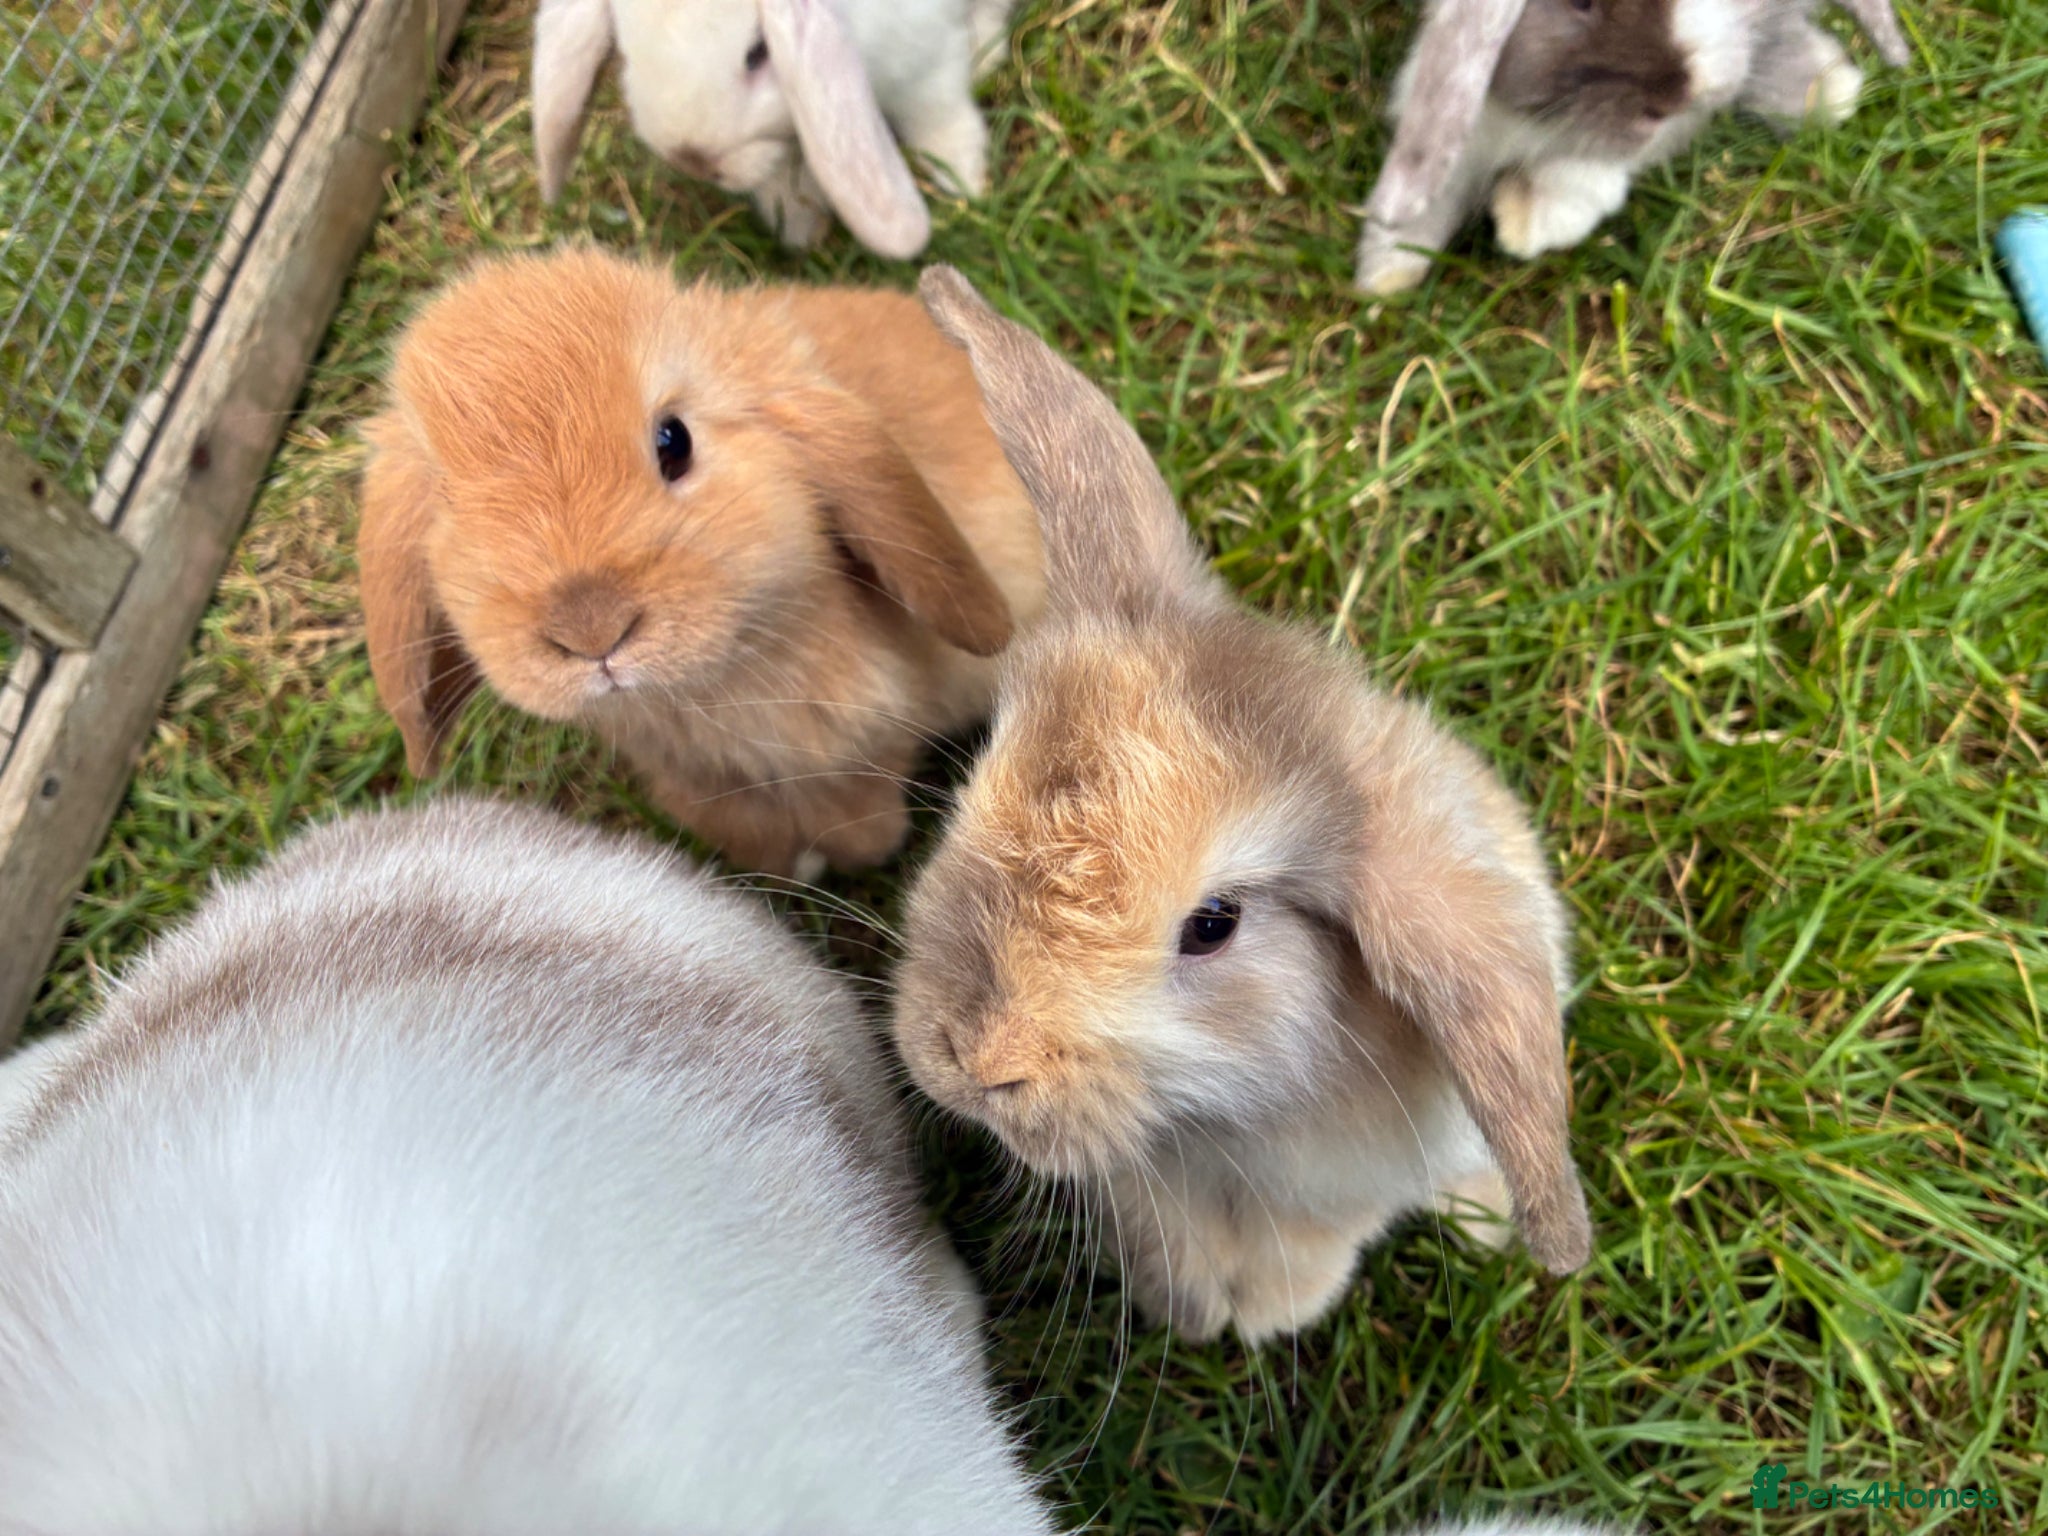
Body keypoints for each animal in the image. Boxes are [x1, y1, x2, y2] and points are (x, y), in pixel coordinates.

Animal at [357, 246, 1044, 881]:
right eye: (446, 499)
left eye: (674, 441)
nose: (591, 630)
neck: (701, 690)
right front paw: (780, 866)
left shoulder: (868, 734)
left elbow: (860, 811)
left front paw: (852, 851)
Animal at [532, 0, 1018, 259]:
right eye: (627, 46)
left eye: (758, 53)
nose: (693, 159)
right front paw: (800, 233)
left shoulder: (925, 64)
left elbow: (939, 119)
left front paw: (965, 186)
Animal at [887, 267, 1593, 1346]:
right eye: (980, 776)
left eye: (1212, 925)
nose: (973, 1057)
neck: (1223, 1117)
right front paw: (1183, 1299)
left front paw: (1252, 1314)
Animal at [1354, 0, 1911, 293]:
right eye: (1581, 3)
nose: (1677, 94)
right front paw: (1388, 273)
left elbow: (1586, 176)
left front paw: (1522, 217)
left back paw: (1825, 88)